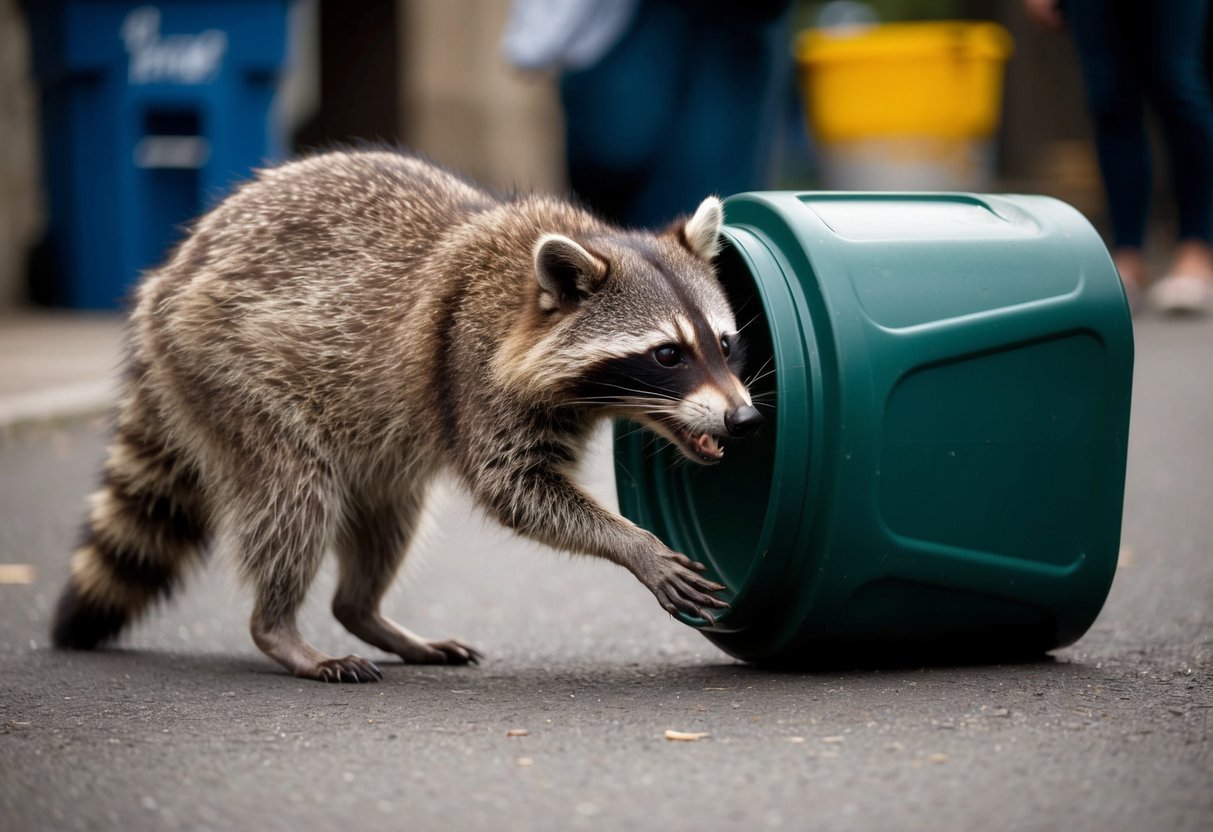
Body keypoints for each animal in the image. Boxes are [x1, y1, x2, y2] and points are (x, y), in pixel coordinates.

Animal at [51, 150, 762, 682]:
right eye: (667, 354)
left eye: (725, 344)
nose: (744, 420)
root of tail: (167, 277)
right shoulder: (469, 364)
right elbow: (514, 490)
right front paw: (631, 542)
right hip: (224, 370)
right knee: (294, 496)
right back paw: (278, 627)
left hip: (368, 433)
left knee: (388, 511)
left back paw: (362, 610)